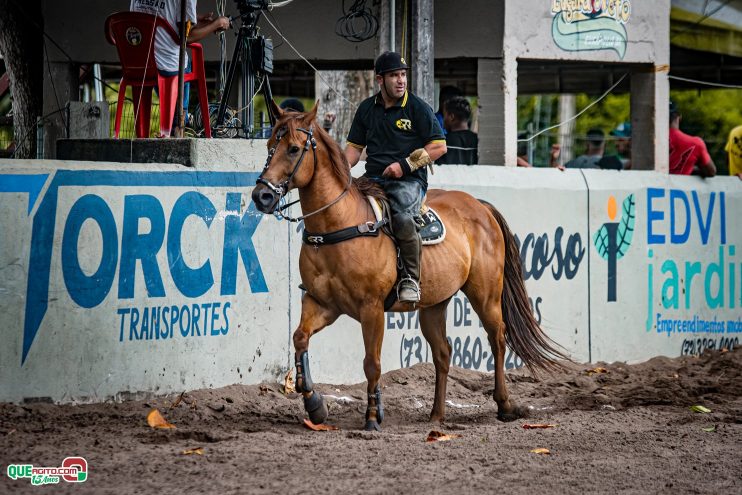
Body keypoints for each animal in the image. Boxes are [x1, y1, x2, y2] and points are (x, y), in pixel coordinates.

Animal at [251, 103, 568, 430]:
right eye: (269, 145)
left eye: (293, 148)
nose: (261, 195)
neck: (340, 225)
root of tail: (480, 206)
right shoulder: (322, 303)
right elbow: (300, 338)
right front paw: (314, 404)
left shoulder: (371, 308)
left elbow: (372, 363)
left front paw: (373, 416)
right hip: (434, 305)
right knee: (443, 353)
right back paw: (436, 415)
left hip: (486, 294)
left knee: (498, 340)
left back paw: (504, 405)